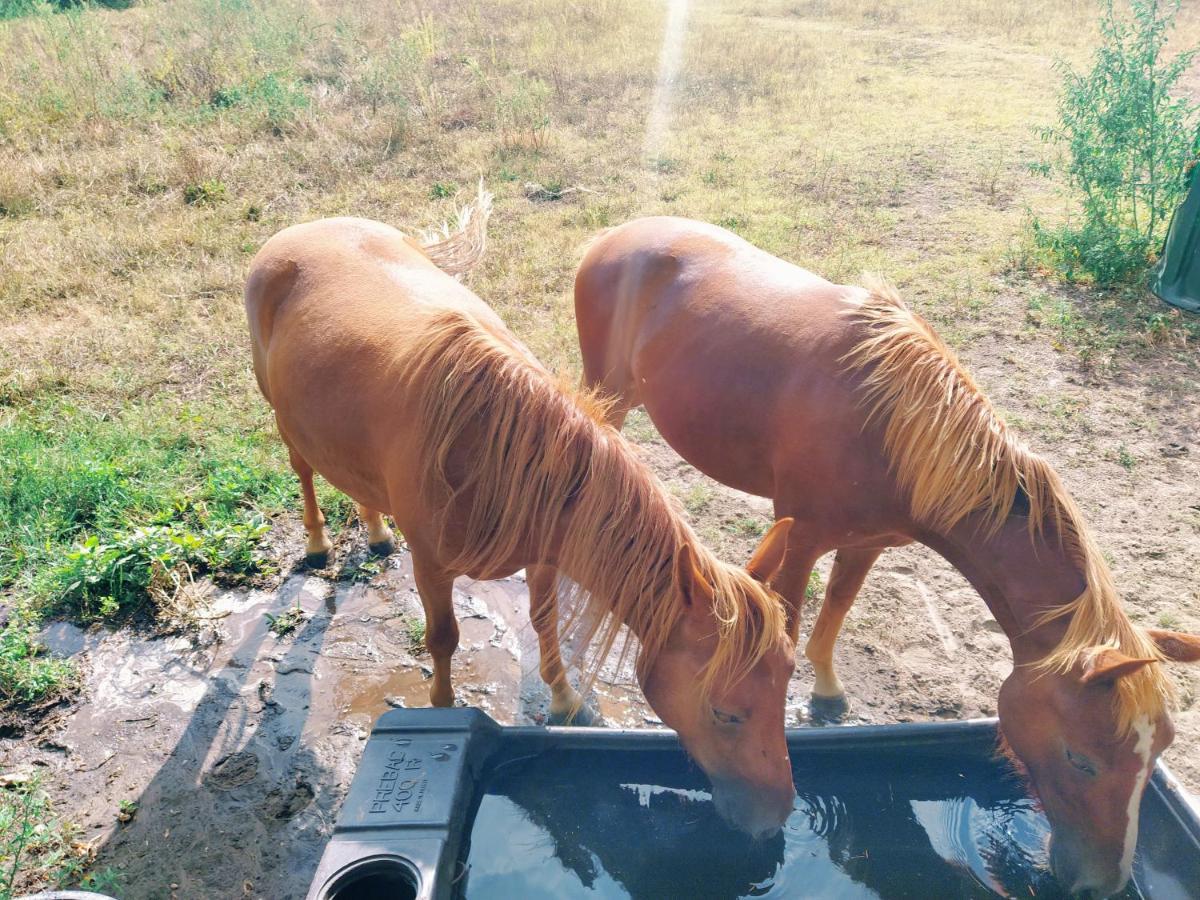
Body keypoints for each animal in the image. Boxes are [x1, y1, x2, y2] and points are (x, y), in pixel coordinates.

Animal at [244, 202, 801, 840]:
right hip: (282, 417)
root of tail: (302, 231)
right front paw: (442, 710)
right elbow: (443, 638)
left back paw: (378, 530)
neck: (493, 449)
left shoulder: (544, 552)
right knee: (303, 469)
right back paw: (317, 542)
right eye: (724, 713)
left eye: (789, 681)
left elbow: (543, 621)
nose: (775, 817)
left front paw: (563, 699)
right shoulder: (431, 564)